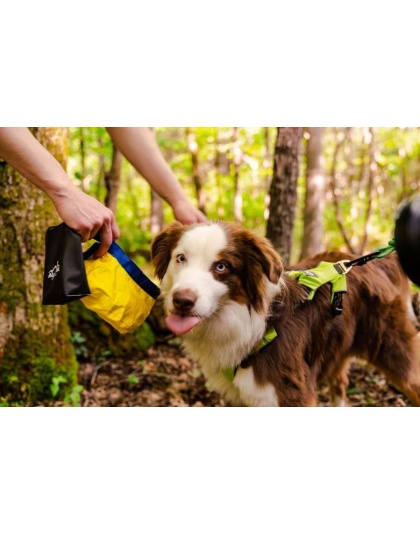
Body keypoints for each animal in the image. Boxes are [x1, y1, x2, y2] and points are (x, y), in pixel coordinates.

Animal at [151, 220, 420, 408]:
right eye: (180, 258)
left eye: (221, 266)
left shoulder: (291, 394)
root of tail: (379, 261)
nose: (182, 301)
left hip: (392, 347)